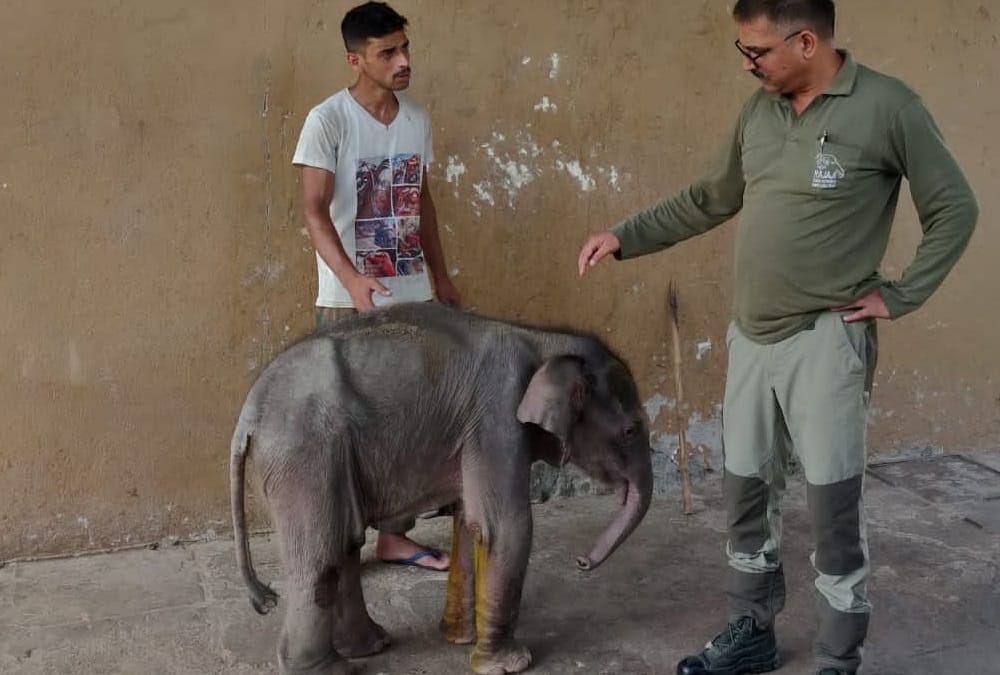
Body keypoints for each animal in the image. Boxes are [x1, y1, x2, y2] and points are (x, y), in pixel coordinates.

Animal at [229, 302, 654, 675]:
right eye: (631, 431)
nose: (581, 562)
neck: (545, 339)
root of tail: (247, 414)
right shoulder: (498, 417)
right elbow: (506, 526)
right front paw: (511, 664)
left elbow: (469, 521)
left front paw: (458, 639)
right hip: (305, 454)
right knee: (320, 552)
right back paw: (332, 669)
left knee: (343, 544)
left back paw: (370, 646)